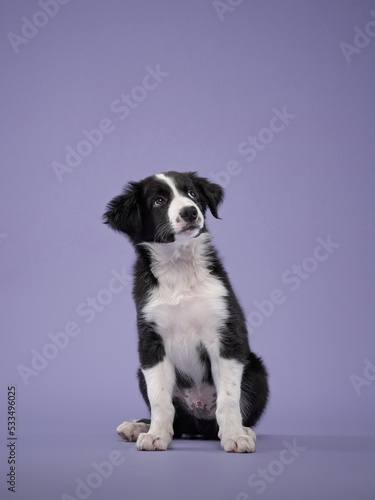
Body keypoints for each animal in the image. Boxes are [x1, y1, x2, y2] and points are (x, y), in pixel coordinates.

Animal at [103, 172, 268, 454]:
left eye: (191, 193)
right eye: (159, 201)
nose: (190, 212)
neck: (178, 265)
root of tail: (198, 421)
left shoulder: (224, 336)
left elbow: (229, 397)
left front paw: (235, 435)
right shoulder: (151, 342)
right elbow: (160, 399)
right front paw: (156, 435)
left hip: (256, 370)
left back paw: (243, 429)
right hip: (141, 374)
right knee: (179, 422)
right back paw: (139, 426)